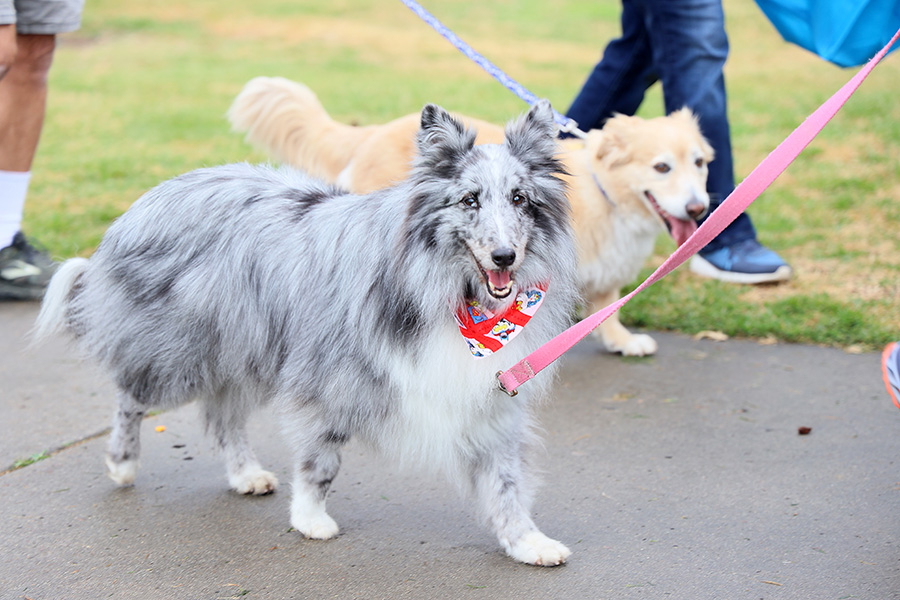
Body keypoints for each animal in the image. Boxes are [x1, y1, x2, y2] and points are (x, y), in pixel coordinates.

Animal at [37, 101, 576, 564]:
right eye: (469, 200)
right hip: (181, 350)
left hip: (242, 351)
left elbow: (505, 480)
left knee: (224, 417)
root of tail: (149, 198)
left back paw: (245, 474)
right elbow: (322, 459)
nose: (505, 256)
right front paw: (310, 519)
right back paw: (122, 463)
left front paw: (527, 541)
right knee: (131, 395)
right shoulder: (330, 378)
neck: (457, 299)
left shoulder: (491, 396)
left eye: (520, 199)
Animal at [230, 77, 712, 354]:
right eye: (662, 167)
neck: (606, 193)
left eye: (700, 163)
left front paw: (621, 340)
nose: (699, 208)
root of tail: (368, 134)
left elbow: (608, 305)